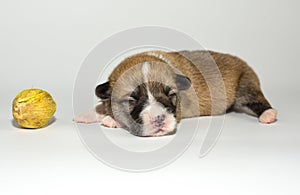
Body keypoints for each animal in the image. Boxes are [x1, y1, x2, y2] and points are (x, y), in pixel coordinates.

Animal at [74, 50, 278, 137]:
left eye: (170, 94)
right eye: (132, 99)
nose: (159, 119)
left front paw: (110, 119)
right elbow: (101, 105)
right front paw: (89, 115)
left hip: (245, 85)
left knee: (255, 99)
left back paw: (268, 114)